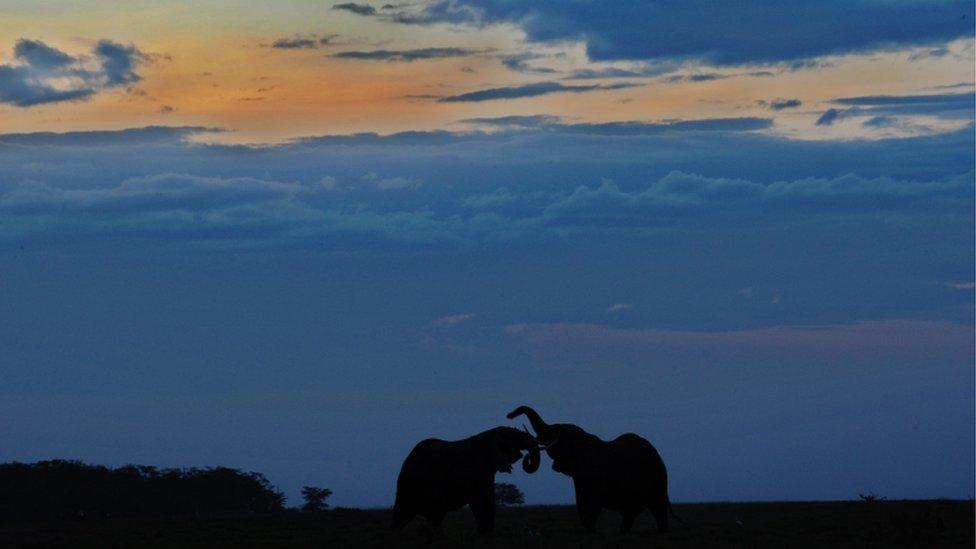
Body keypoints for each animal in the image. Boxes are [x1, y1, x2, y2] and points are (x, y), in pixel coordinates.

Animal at [388, 424, 540, 536]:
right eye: (515, 438)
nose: (527, 457)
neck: (490, 434)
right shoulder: (478, 469)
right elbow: (484, 498)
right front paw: (487, 535)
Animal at [504, 404, 680, 532]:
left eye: (556, 432)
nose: (509, 415)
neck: (584, 438)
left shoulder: (592, 473)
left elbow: (590, 504)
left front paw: (591, 531)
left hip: (657, 481)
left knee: (657, 510)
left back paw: (661, 531)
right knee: (629, 514)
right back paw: (624, 532)